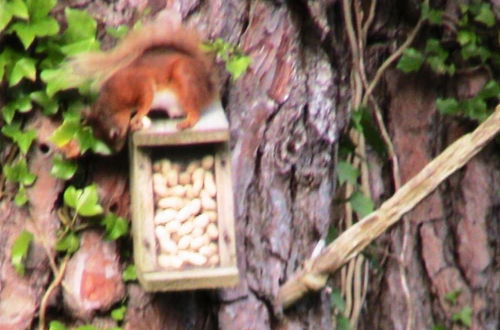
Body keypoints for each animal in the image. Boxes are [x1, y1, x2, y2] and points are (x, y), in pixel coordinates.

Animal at [69, 13, 218, 152]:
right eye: (97, 136)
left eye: (115, 134)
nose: (117, 150)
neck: (114, 98)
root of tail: (208, 87)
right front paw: (138, 122)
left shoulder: (140, 83)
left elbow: (146, 100)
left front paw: (137, 117)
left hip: (185, 80)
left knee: (195, 111)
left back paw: (187, 122)